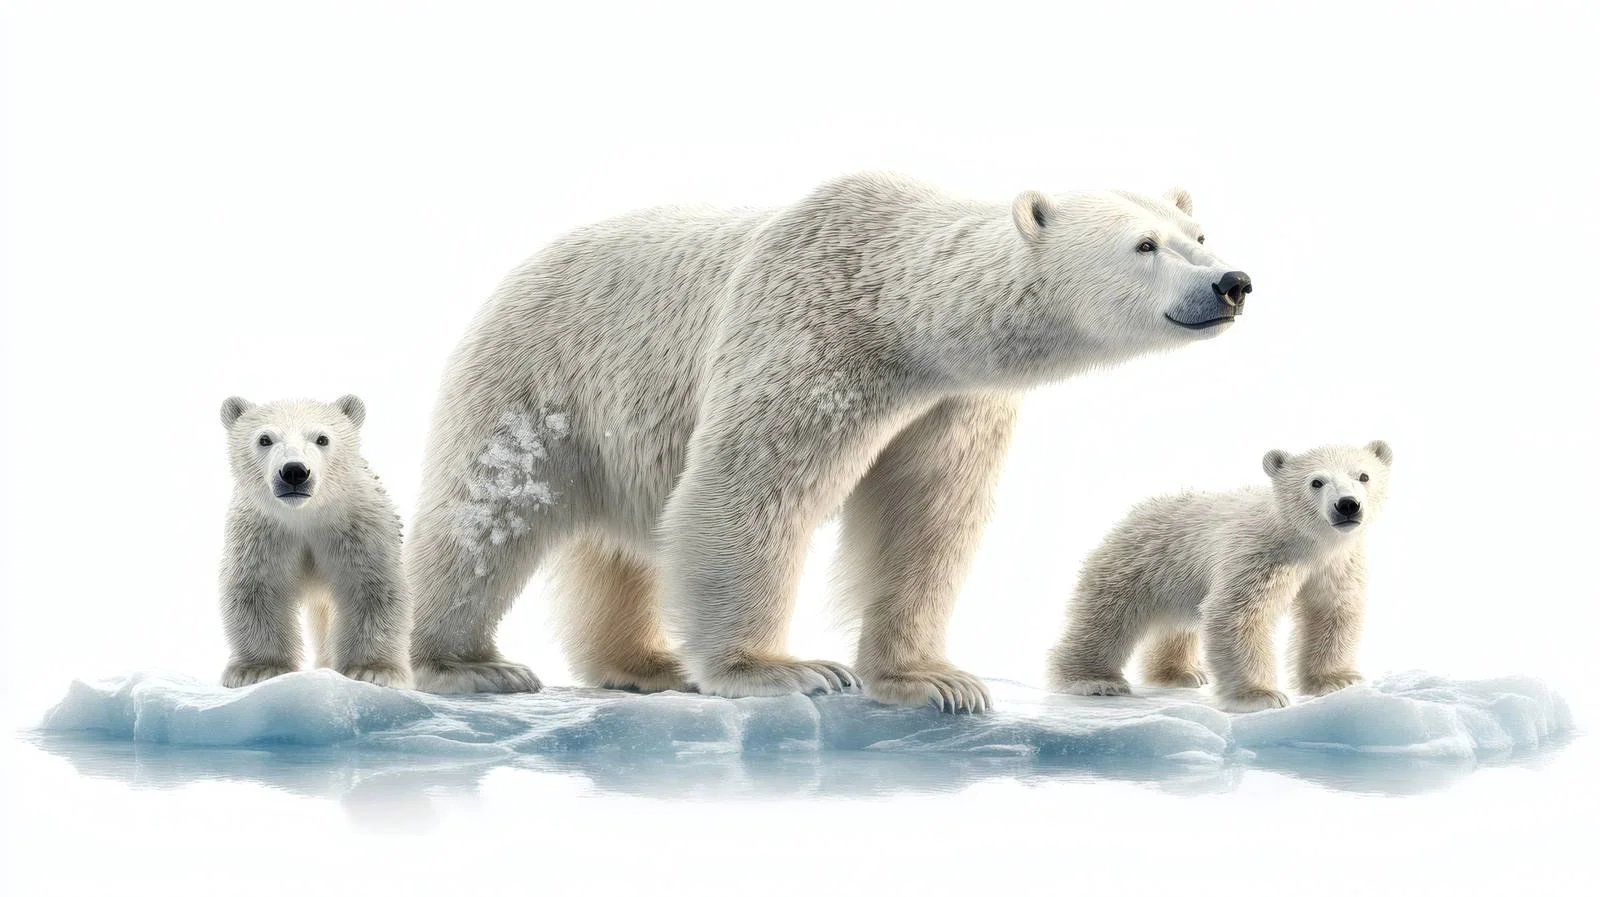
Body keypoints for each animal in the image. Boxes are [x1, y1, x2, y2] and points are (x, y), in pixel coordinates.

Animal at [218, 395, 411, 688]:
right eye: (264, 439)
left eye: (322, 438)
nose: (294, 471)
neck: (304, 516)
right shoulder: (264, 535)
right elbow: (257, 589)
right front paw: (258, 670)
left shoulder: (357, 529)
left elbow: (371, 587)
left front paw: (374, 670)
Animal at [405, 171, 1252, 712]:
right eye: (1144, 245)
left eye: (1199, 232)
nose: (1232, 282)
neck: (896, 306)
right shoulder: (810, 337)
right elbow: (749, 488)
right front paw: (782, 670)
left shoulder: (952, 404)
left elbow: (926, 520)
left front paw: (937, 681)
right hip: (542, 376)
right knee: (490, 511)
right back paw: (469, 664)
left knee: (622, 549)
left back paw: (645, 663)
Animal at [1047, 441, 1393, 712]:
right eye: (1316, 482)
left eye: (1363, 475)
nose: (1347, 505)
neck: (1307, 543)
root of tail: (1133, 514)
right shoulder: (1258, 556)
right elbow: (1238, 614)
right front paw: (1260, 696)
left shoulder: (1335, 566)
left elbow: (1331, 612)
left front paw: (1338, 680)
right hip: (1140, 564)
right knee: (1106, 617)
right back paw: (1094, 680)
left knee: (1176, 624)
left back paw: (1181, 673)